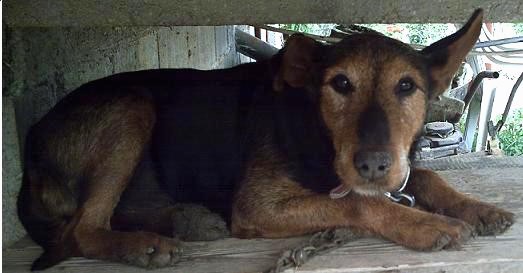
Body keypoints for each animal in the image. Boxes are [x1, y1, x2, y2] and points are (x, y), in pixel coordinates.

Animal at [17, 9, 516, 270]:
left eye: (407, 86)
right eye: (340, 84)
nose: (372, 165)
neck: (316, 134)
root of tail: (32, 144)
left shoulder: (396, 167)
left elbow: (423, 176)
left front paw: (476, 207)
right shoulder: (258, 205)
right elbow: (359, 202)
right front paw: (427, 223)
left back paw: (186, 220)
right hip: (130, 105)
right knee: (83, 229)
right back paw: (145, 245)